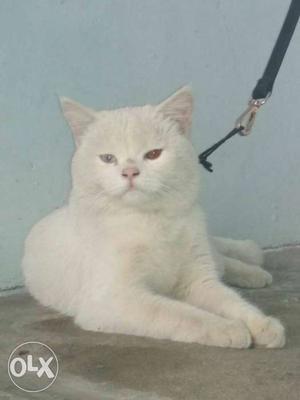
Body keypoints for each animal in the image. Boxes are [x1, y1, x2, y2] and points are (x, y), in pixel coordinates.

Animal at [21, 86, 286, 346]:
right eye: (108, 158)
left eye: (154, 154)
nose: (129, 172)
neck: (152, 221)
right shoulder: (115, 299)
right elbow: (179, 314)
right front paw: (227, 328)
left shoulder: (198, 281)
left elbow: (231, 302)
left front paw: (262, 324)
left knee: (220, 259)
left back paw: (253, 267)